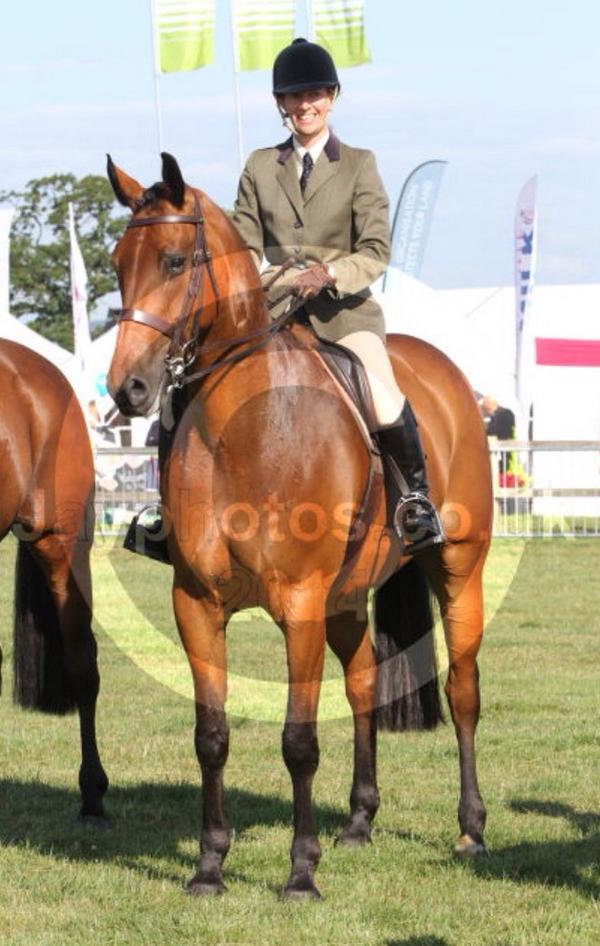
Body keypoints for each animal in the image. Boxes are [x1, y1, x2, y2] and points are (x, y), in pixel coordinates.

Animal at [106, 153, 493, 899]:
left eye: (174, 261)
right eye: (115, 266)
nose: (127, 391)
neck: (245, 427)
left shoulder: (301, 601)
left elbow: (298, 740)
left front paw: (300, 873)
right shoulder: (196, 602)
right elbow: (212, 735)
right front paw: (209, 866)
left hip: (457, 566)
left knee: (462, 690)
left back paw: (471, 830)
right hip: (346, 595)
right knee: (365, 682)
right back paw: (360, 821)